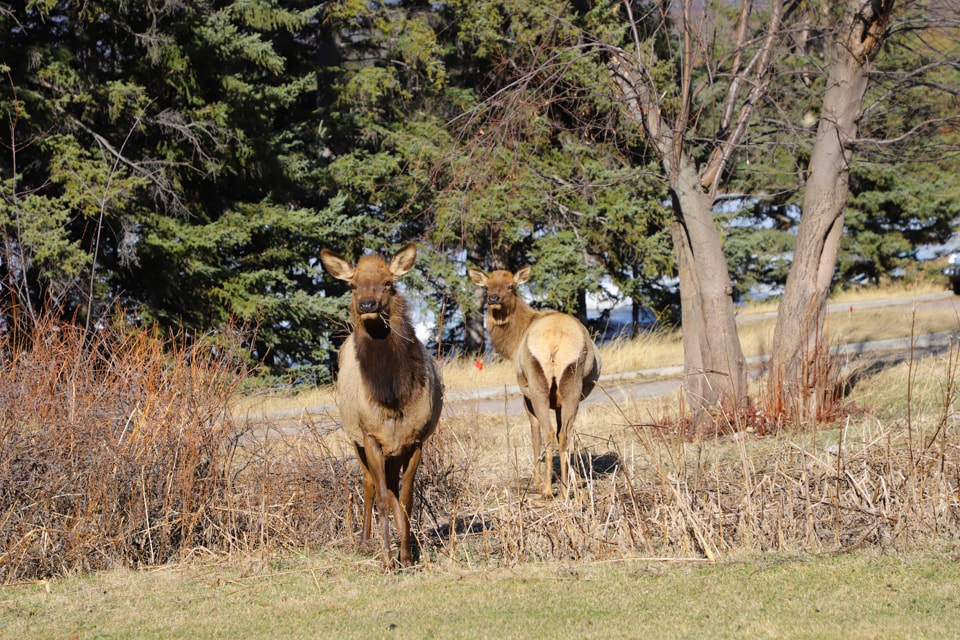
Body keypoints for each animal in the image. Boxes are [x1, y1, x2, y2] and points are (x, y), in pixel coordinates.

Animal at [320, 242, 444, 568]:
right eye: (352, 285)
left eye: (389, 282)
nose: (367, 304)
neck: (392, 397)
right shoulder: (371, 438)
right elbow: (383, 498)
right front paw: (387, 559)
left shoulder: (415, 441)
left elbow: (406, 498)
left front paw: (407, 556)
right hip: (356, 440)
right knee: (370, 484)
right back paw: (365, 543)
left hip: (393, 452)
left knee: (389, 486)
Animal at [466, 264, 600, 496]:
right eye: (487, 286)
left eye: (511, 286)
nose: (493, 298)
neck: (512, 344)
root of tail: (555, 342)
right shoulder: (558, 402)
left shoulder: (525, 395)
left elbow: (534, 437)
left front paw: (537, 482)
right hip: (571, 383)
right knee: (564, 434)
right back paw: (565, 488)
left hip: (537, 384)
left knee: (546, 433)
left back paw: (546, 489)